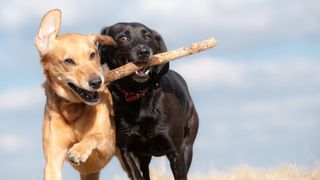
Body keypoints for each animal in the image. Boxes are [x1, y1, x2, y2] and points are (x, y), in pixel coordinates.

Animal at [100, 22, 199, 180]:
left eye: (147, 36)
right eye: (122, 37)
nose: (144, 52)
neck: (138, 96)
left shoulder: (176, 151)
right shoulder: (127, 150)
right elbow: (137, 175)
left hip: (188, 146)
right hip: (144, 156)